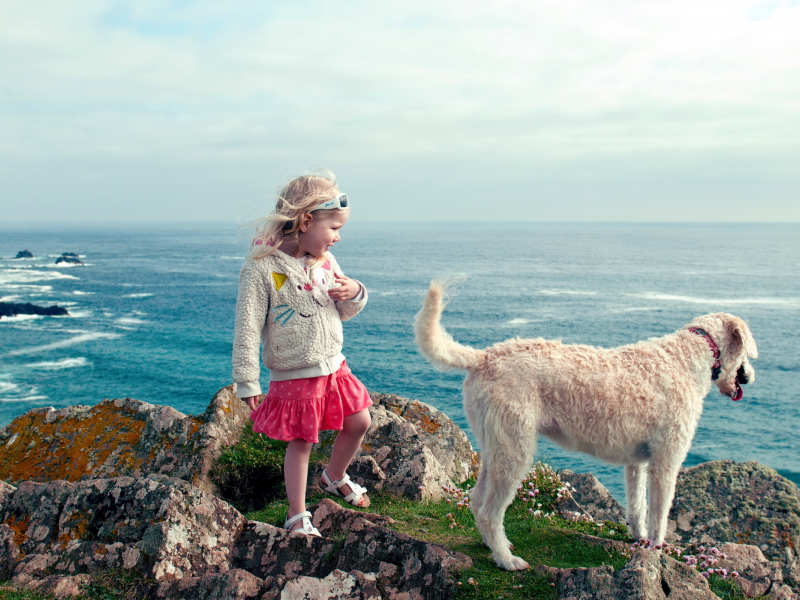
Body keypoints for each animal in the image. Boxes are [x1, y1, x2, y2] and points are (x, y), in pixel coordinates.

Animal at [416, 282, 760, 572]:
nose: (751, 376)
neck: (688, 356)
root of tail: (483, 357)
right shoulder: (666, 461)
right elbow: (659, 514)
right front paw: (657, 551)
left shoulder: (637, 461)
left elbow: (637, 506)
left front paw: (639, 540)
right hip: (514, 449)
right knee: (490, 511)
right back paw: (506, 560)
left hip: (495, 443)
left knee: (477, 501)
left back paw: (496, 546)